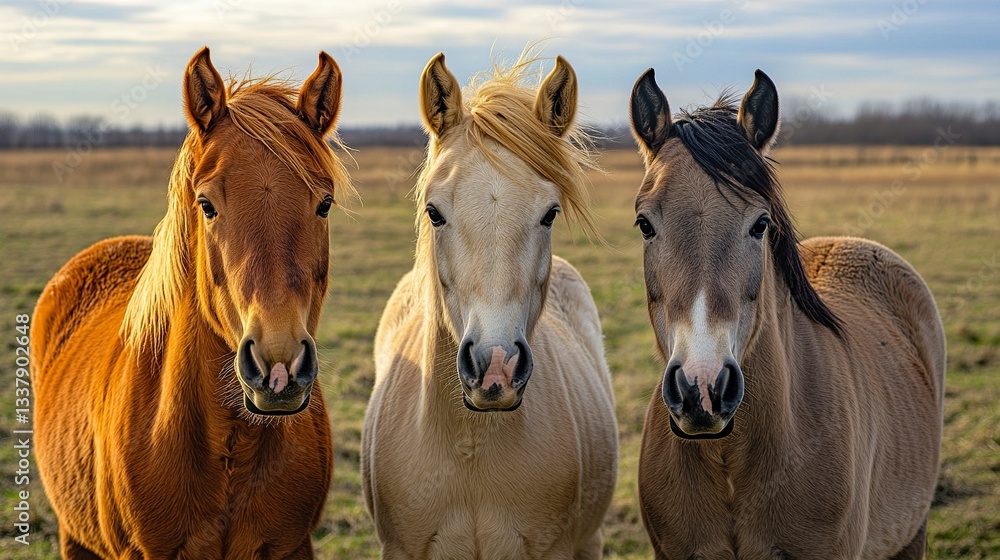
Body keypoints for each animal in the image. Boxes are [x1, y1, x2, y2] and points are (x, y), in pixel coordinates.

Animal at [31, 47, 354, 559]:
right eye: (206, 204)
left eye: (324, 203)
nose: (279, 368)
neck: (228, 447)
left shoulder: (293, 545)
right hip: (73, 537)